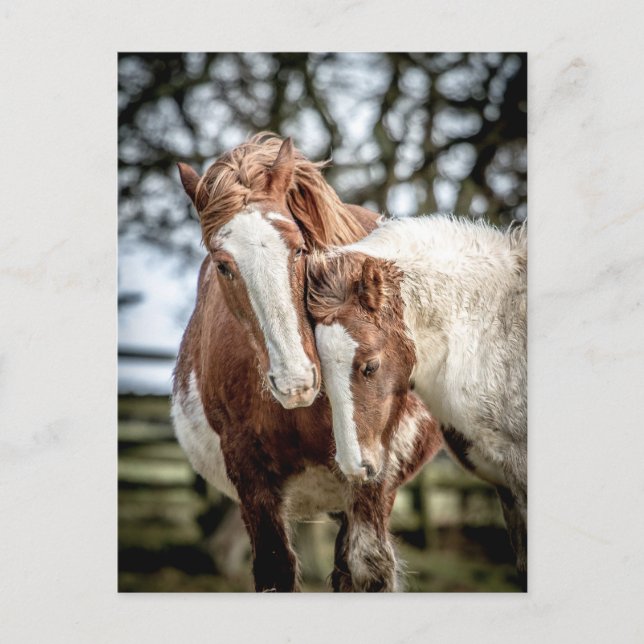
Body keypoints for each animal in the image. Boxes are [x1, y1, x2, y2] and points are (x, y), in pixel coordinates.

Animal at [171, 134, 443, 592]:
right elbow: (275, 569)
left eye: (299, 249)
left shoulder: (374, 473)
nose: (295, 381)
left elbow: (368, 569)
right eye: (223, 266)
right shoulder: (249, 474)